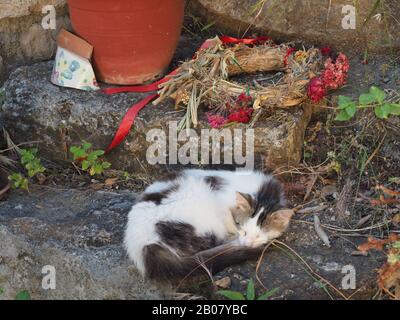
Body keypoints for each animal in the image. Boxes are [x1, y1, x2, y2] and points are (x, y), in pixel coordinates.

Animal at [123, 169, 292, 282]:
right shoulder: (223, 209)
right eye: (243, 230)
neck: (265, 194)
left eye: (258, 235)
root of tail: (142, 243)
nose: (247, 243)